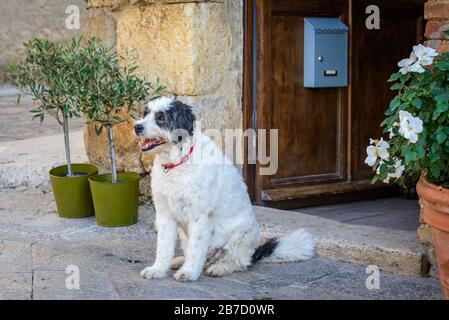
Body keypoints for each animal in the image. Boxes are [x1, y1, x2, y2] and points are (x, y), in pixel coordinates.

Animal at [134, 96, 316, 282]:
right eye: (146, 113)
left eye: (161, 117)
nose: (137, 127)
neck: (178, 160)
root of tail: (255, 251)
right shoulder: (165, 214)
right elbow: (163, 247)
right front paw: (157, 269)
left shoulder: (199, 217)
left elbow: (195, 249)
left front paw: (189, 272)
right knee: (201, 255)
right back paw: (181, 261)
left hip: (241, 236)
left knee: (238, 262)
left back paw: (220, 267)